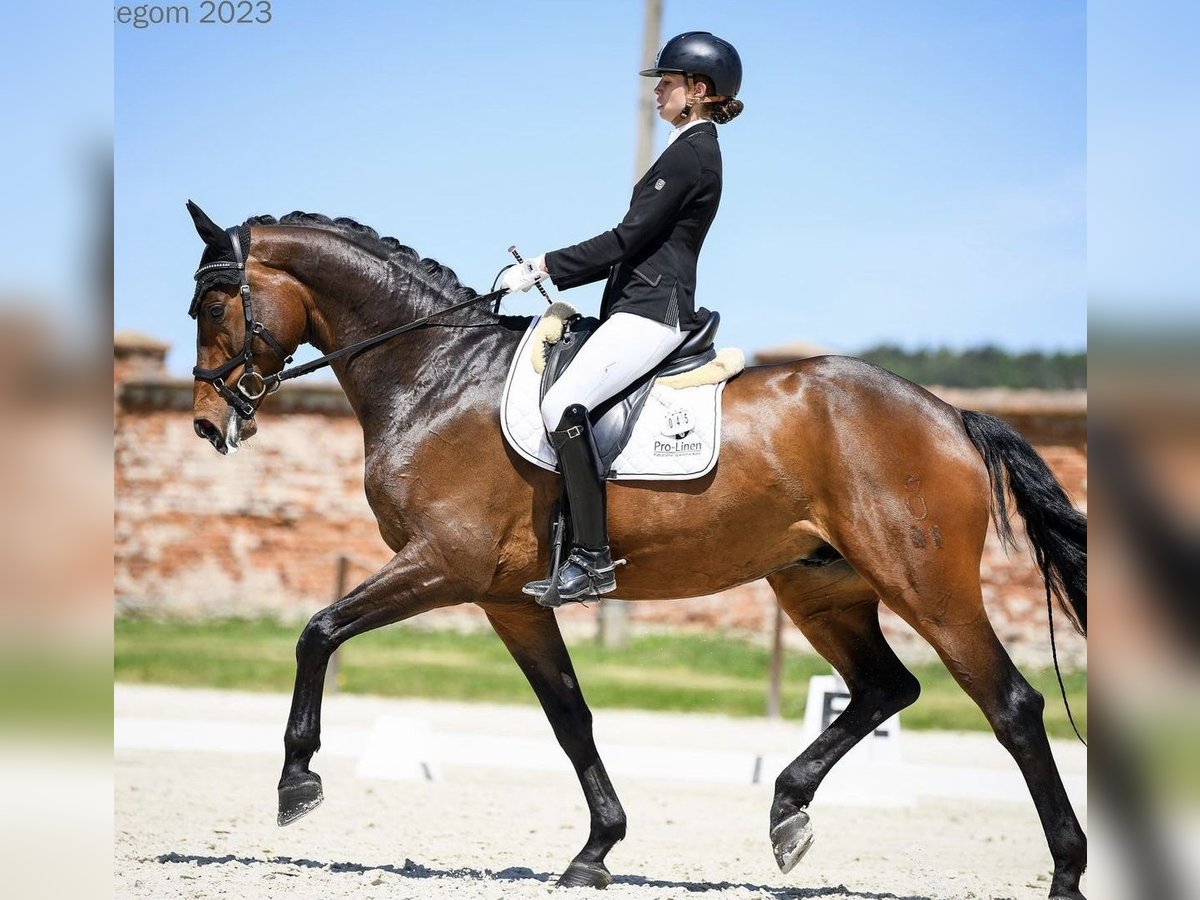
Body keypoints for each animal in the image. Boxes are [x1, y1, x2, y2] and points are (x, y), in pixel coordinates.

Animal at [184, 204, 1089, 900]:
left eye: (216, 304)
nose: (207, 422)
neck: (435, 375)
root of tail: (949, 415)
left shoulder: (442, 563)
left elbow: (318, 630)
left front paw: (297, 781)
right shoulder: (507, 598)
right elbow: (569, 716)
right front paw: (596, 850)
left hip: (923, 582)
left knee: (1011, 706)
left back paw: (1065, 874)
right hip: (818, 586)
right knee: (882, 688)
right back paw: (787, 814)